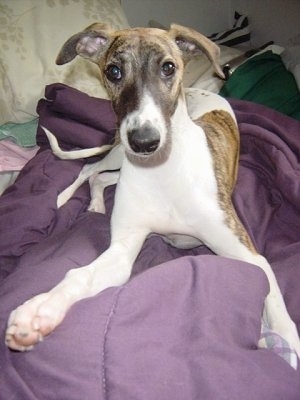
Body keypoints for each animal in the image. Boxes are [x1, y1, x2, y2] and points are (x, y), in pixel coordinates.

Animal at [5, 24, 300, 360]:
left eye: (168, 67)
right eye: (114, 71)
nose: (144, 141)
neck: (162, 172)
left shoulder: (246, 252)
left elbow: (271, 291)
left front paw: (288, 344)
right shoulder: (121, 251)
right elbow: (79, 274)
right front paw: (40, 309)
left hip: (121, 161)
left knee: (100, 178)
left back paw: (94, 203)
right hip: (118, 154)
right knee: (88, 170)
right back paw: (66, 198)